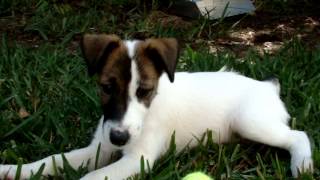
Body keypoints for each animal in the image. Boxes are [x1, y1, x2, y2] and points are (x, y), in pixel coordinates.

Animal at [0, 34, 312, 179]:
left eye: (144, 91)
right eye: (106, 88)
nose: (119, 137)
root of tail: (267, 86)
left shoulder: (138, 159)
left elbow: (91, 177)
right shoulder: (99, 148)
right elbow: (53, 160)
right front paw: (13, 170)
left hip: (250, 121)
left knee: (299, 135)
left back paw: (302, 165)